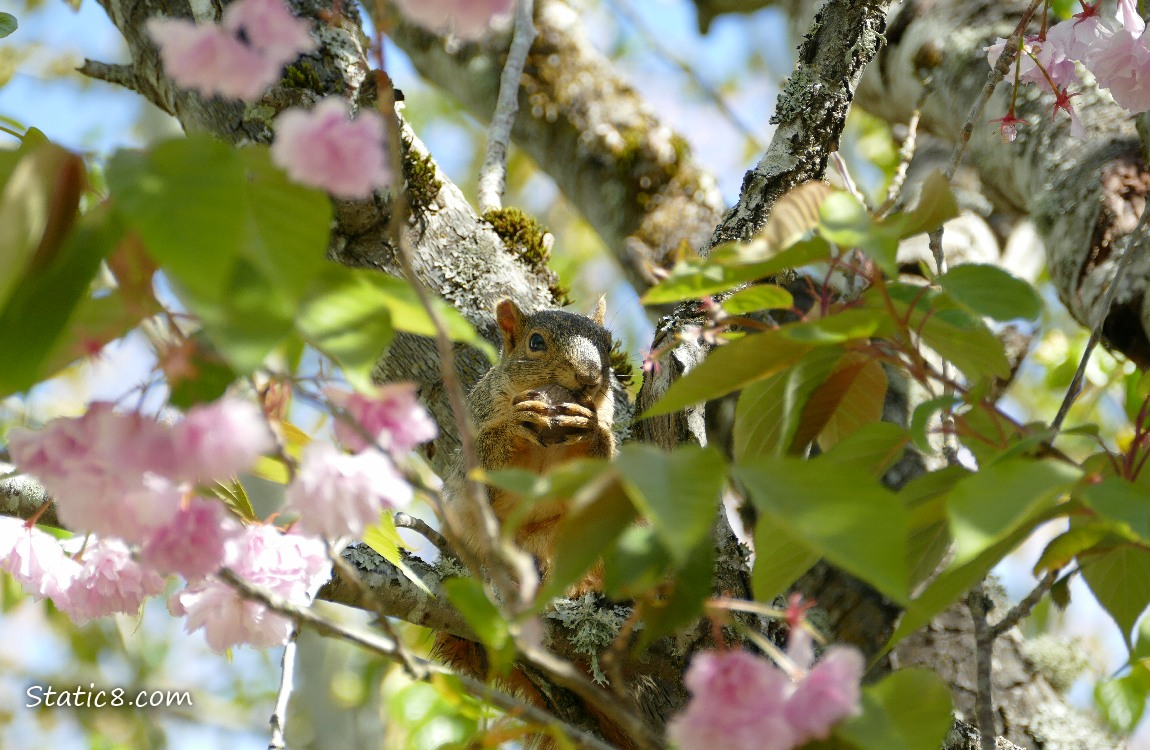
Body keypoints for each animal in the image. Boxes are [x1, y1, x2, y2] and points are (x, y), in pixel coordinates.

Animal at [449, 297, 617, 587]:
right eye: (536, 342)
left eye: (608, 345)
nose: (589, 377)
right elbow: (480, 473)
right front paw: (515, 423)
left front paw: (590, 426)